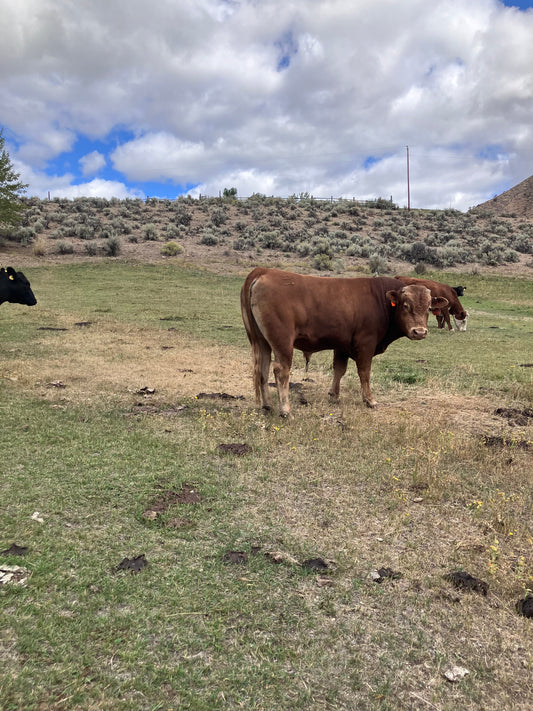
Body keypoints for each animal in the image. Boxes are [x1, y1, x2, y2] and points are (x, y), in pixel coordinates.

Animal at [240, 272, 444, 418]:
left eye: (428, 308)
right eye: (406, 305)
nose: (420, 332)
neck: (380, 300)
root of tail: (265, 271)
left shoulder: (342, 346)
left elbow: (339, 370)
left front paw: (334, 396)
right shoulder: (366, 344)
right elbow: (364, 373)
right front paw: (370, 400)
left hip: (262, 341)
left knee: (262, 370)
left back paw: (267, 405)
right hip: (282, 342)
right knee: (281, 371)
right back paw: (285, 411)